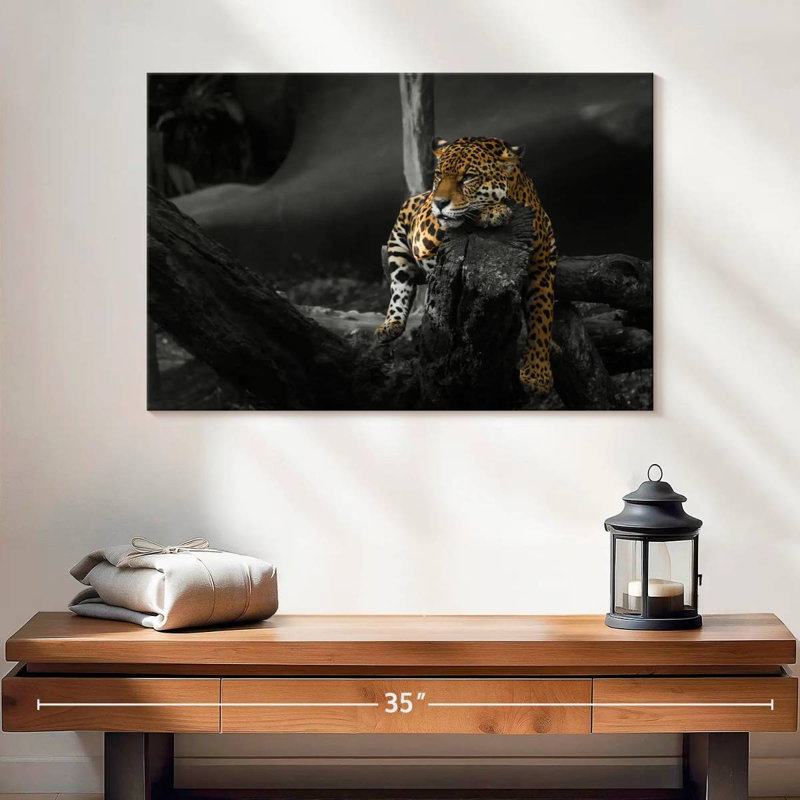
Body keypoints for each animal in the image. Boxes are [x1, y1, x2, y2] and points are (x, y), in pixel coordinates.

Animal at [374, 136, 557, 395]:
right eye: (439, 175)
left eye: (469, 177)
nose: (439, 202)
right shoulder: (426, 227)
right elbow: (462, 216)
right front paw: (493, 211)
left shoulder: (541, 266)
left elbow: (542, 314)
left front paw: (537, 374)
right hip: (400, 241)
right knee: (400, 286)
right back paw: (391, 324)